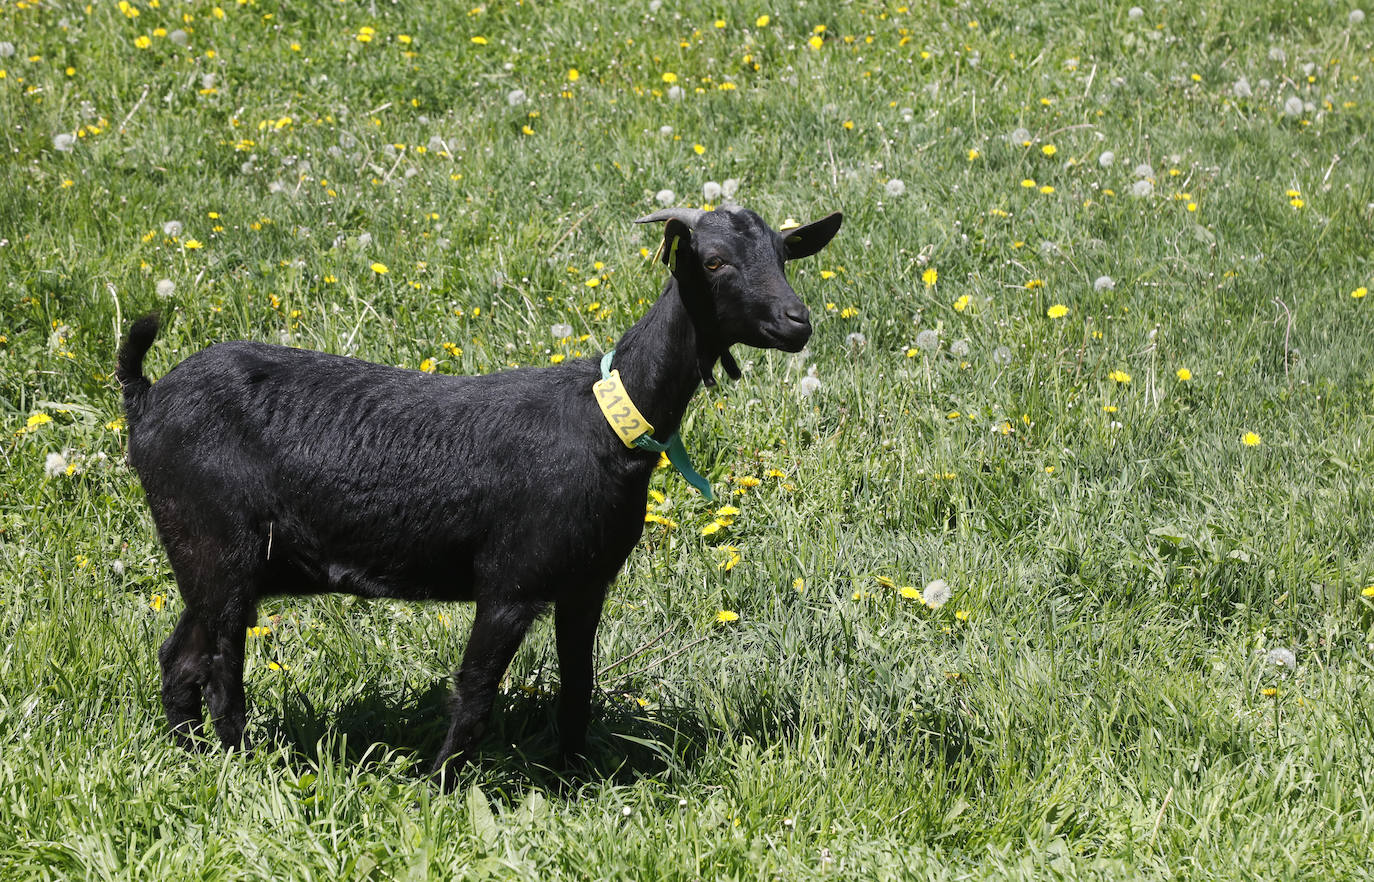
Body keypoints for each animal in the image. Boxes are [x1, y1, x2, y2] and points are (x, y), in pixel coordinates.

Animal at [120, 206, 835, 769]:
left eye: (783, 255)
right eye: (713, 262)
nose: (796, 322)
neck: (607, 417)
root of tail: (145, 397)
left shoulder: (584, 582)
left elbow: (578, 689)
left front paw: (570, 780)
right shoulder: (510, 581)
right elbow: (475, 694)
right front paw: (437, 786)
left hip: (213, 559)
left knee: (180, 658)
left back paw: (188, 756)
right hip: (217, 544)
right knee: (221, 669)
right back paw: (240, 765)